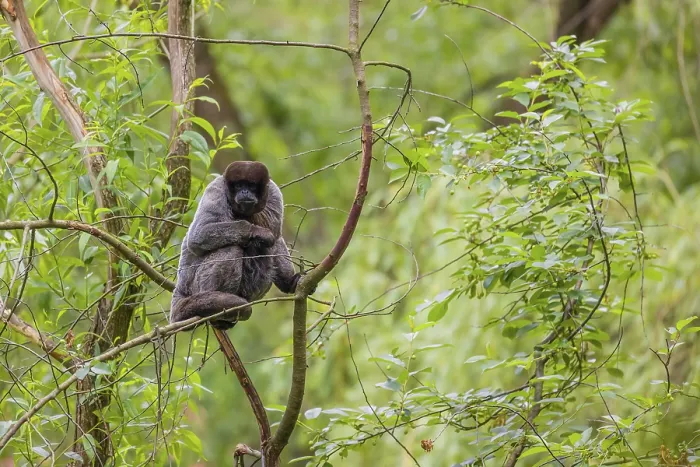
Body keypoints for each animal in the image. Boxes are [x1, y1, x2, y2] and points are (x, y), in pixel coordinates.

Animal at [170, 161, 305, 330]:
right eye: (239, 185)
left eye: (252, 186)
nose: (245, 191)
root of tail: (181, 288)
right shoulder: (216, 190)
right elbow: (198, 235)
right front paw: (255, 231)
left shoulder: (274, 192)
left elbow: (276, 235)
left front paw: (289, 282)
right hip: (195, 286)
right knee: (231, 248)